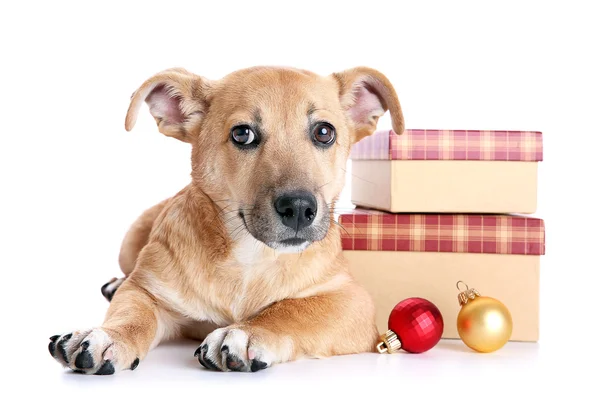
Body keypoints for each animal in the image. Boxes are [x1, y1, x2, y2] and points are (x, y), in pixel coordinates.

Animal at [47, 65, 404, 374]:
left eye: (324, 132)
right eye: (242, 134)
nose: (300, 208)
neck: (249, 257)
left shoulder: (352, 300)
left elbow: (293, 310)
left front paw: (247, 332)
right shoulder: (147, 289)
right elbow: (131, 313)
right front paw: (108, 337)